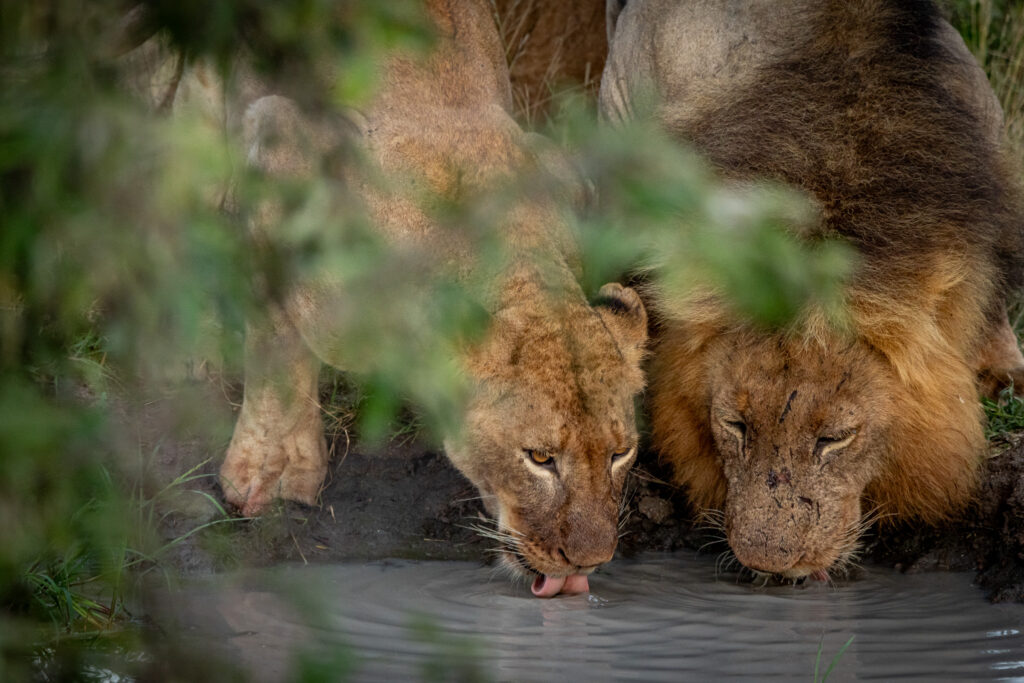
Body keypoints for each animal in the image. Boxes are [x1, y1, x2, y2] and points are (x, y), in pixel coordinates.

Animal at [193, 0, 648, 597]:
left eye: (620, 453)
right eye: (540, 458)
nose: (589, 563)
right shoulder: (281, 142)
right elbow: (276, 342)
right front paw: (268, 473)